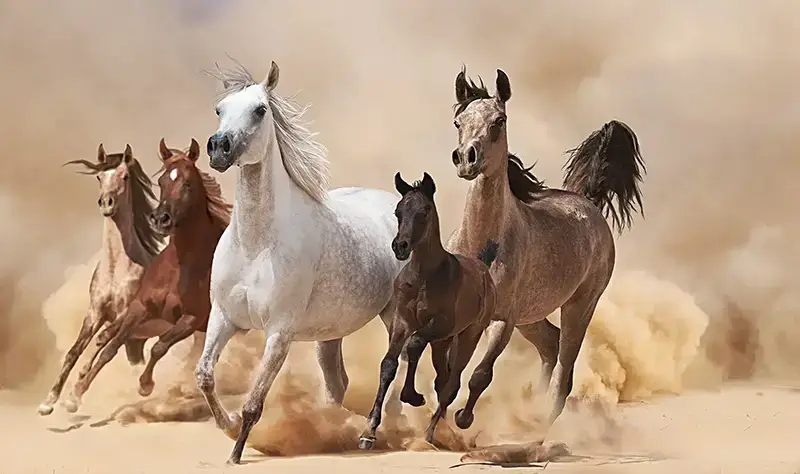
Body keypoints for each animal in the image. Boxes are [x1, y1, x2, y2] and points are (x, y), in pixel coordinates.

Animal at [38, 144, 166, 416]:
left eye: (125, 176)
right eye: (98, 176)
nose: (106, 203)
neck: (117, 269)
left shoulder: (126, 313)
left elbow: (102, 341)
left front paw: (75, 394)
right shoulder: (95, 312)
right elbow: (74, 351)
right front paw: (49, 401)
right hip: (138, 338)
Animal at [63, 138, 232, 412]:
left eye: (187, 182)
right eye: (161, 182)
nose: (161, 219)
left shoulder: (190, 318)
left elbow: (159, 346)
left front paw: (145, 385)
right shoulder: (133, 308)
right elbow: (106, 346)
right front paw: (73, 393)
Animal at [196, 60, 405, 465]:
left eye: (260, 110)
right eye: (219, 109)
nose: (218, 148)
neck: (256, 245)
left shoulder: (280, 332)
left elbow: (254, 402)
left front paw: (236, 453)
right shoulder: (223, 317)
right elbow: (205, 376)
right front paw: (227, 425)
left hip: (395, 317)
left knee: (395, 371)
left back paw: (375, 432)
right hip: (331, 333)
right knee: (338, 383)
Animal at [358, 172, 514, 449]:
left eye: (424, 211)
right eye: (398, 211)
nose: (400, 246)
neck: (424, 277)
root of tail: (483, 266)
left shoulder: (440, 323)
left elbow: (415, 345)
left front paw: (412, 396)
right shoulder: (402, 321)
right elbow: (388, 364)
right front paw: (369, 431)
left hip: (468, 335)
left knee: (453, 382)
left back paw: (434, 431)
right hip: (443, 343)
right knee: (443, 379)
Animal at [447, 66, 645, 431]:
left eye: (499, 121)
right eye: (458, 121)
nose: (467, 159)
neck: (482, 245)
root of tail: (587, 201)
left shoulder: (503, 320)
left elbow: (480, 374)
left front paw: (463, 419)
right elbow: (449, 371)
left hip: (579, 306)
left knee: (563, 369)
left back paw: (540, 424)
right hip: (532, 316)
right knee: (550, 346)